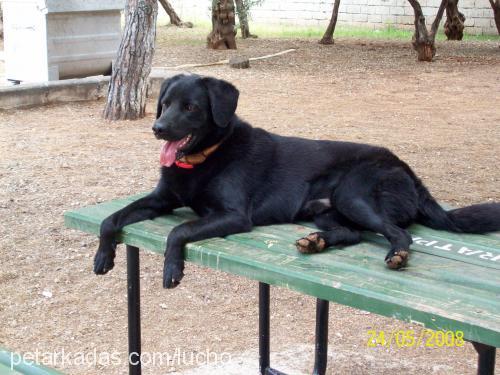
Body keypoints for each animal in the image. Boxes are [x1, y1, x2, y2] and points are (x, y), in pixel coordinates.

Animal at [94, 75, 500, 290]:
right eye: (165, 103)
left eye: (191, 107)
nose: (157, 128)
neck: (206, 157)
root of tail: (409, 171)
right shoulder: (160, 199)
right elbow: (111, 219)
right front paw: (103, 256)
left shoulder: (233, 215)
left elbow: (178, 231)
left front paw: (171, 268)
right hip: (325, 210)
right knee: (351, 234)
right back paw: (315, 242)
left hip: (352, 194)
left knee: (398, 233)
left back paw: (395, 255)